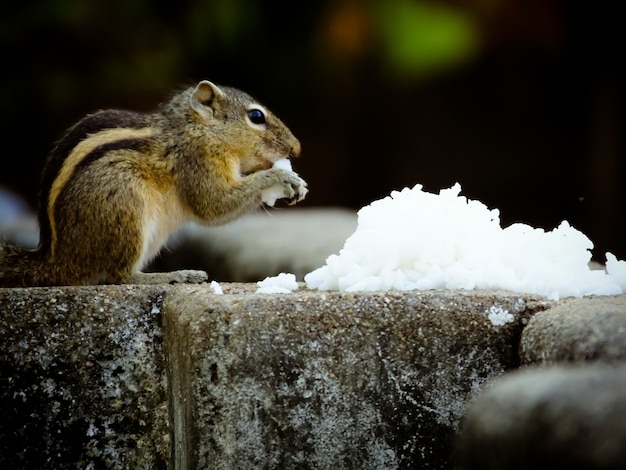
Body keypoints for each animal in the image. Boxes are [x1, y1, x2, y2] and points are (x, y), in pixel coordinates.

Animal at [0, 80, 308, 286]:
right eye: (256, 116)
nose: (297, 148)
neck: (196, 128)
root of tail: (56, 260)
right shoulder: (196, 160)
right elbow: (212, 205)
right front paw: (281, 177)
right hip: (125, 200)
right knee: (120, 276)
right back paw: (174, 276)